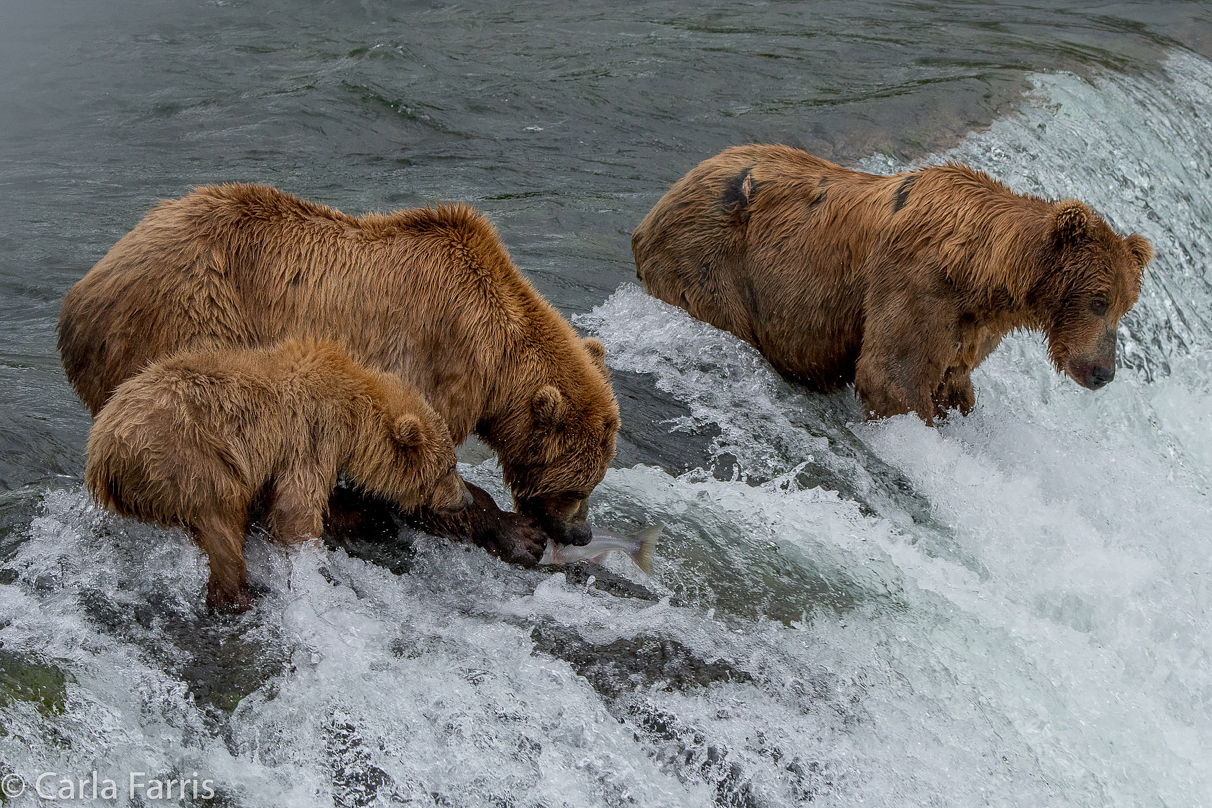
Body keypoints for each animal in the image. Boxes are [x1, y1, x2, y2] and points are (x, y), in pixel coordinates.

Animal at [59, 185, 615, 562]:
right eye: (577, 487)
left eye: (594, 480)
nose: (581, 533)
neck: (494, 356)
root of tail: (83, 291)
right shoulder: (433, 359)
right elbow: (420, 466)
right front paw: (516, 533)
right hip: (195, 320)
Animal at [85, 339, 470, 612]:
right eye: (449, 466)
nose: (465, 498)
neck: (354, 416)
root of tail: (104, 450)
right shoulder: (312, 434)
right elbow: (297, 508)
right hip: (186, 458)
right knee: (221, 521)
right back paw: (240, 595)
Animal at [635, 144, 1153, 423]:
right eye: (1098, 300)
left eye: (1124, 305)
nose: (1103, 371)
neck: (983, 274)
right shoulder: (918, 285)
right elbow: (892, 377)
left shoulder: (970, 326)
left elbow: (952, 383)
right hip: (709, 261)